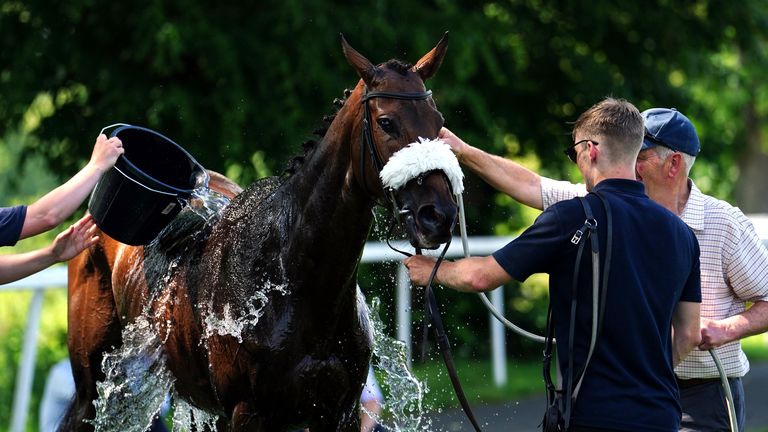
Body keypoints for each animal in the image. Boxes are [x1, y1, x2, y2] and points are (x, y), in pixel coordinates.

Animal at [63, 34, 456, 431]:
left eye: (438, 122)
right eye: (386, 122)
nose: (438, 216)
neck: (290, 275)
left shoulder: (339, 411)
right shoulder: (248, 412)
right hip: (93, 386)